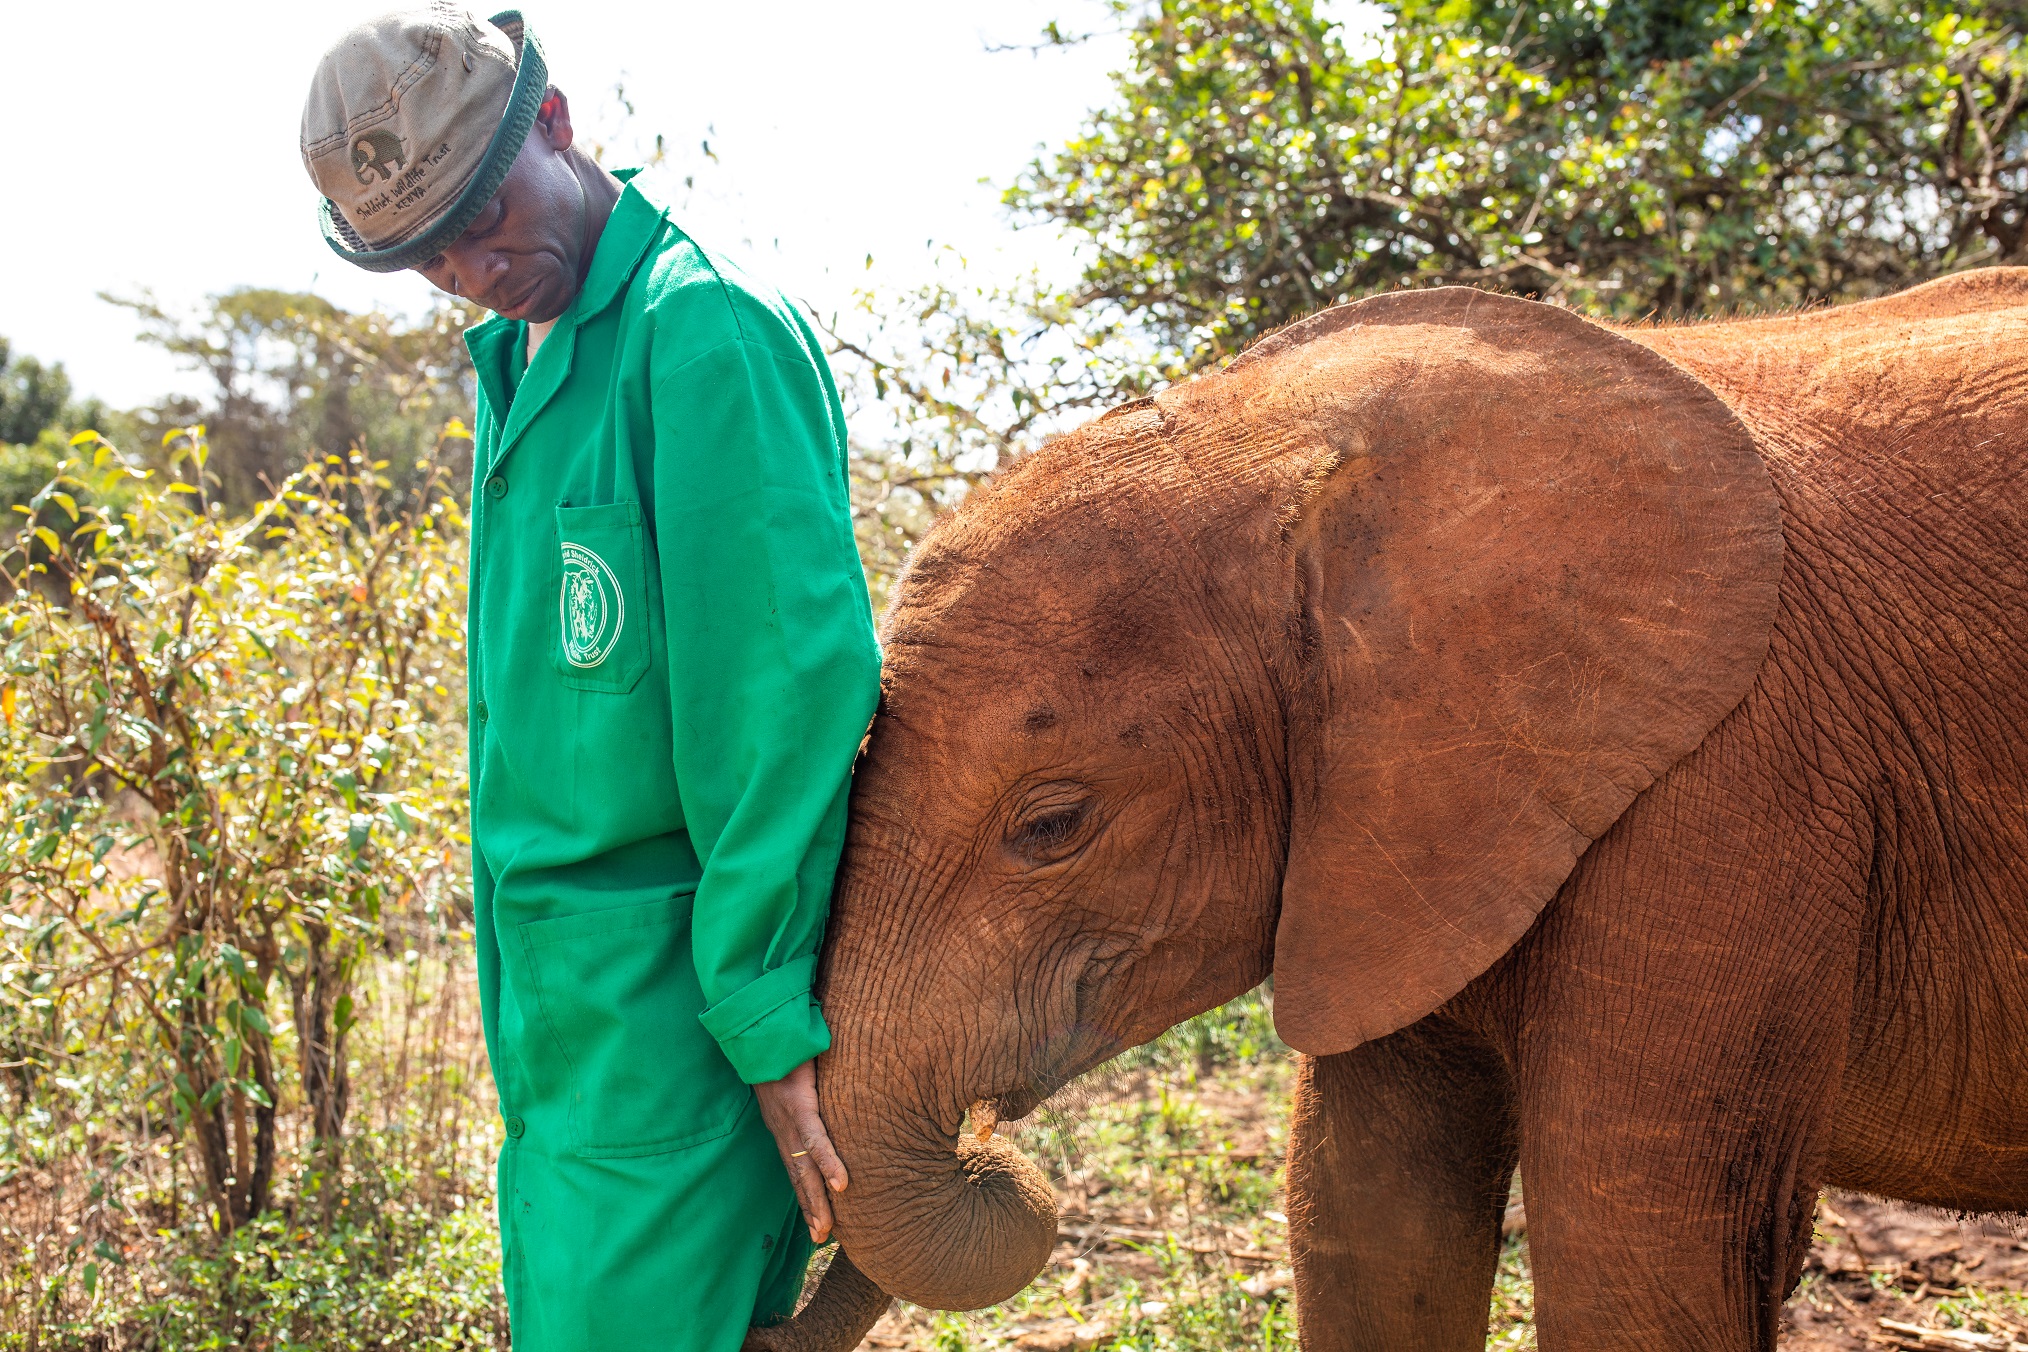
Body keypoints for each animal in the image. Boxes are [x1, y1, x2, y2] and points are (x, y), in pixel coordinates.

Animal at [762, 271, 2028, 1352]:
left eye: (1052, 825)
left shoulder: (1729, 787)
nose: (996, 1161)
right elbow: (1368, 1218)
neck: (1282, 435)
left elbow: (1636, 1264)